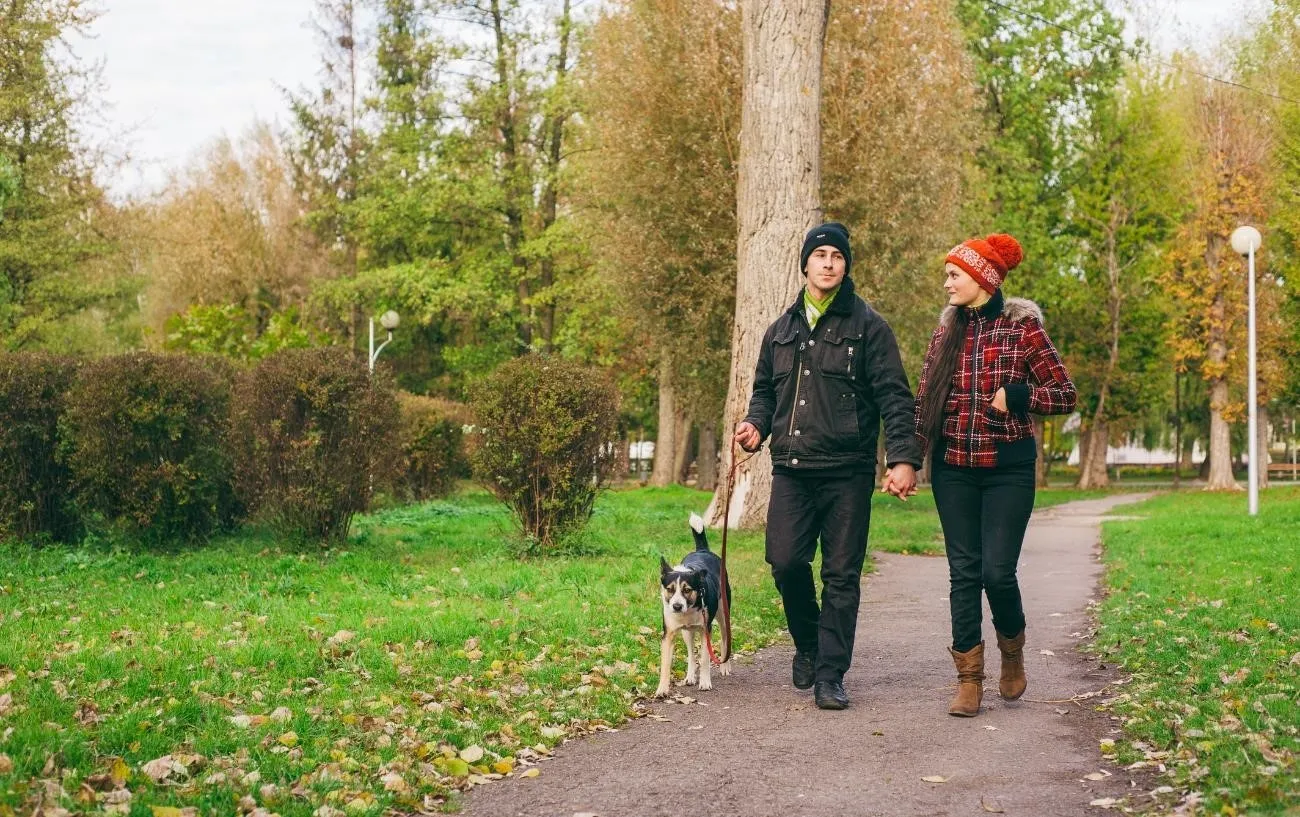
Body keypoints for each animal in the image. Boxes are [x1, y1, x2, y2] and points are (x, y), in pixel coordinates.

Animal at [655, 509, 738, 697]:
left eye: (687, 590)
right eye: (670, 589)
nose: (677, 606)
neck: (689, 610)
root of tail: (703, 550)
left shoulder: (705, 629)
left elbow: (705, 658)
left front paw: (705, 682)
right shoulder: (669, 633)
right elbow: (666, 664)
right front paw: (662, 688)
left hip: (723, 614)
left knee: (724, 640)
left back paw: (724, 667)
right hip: (687, 632)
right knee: (691, 653)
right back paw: (690, 676)